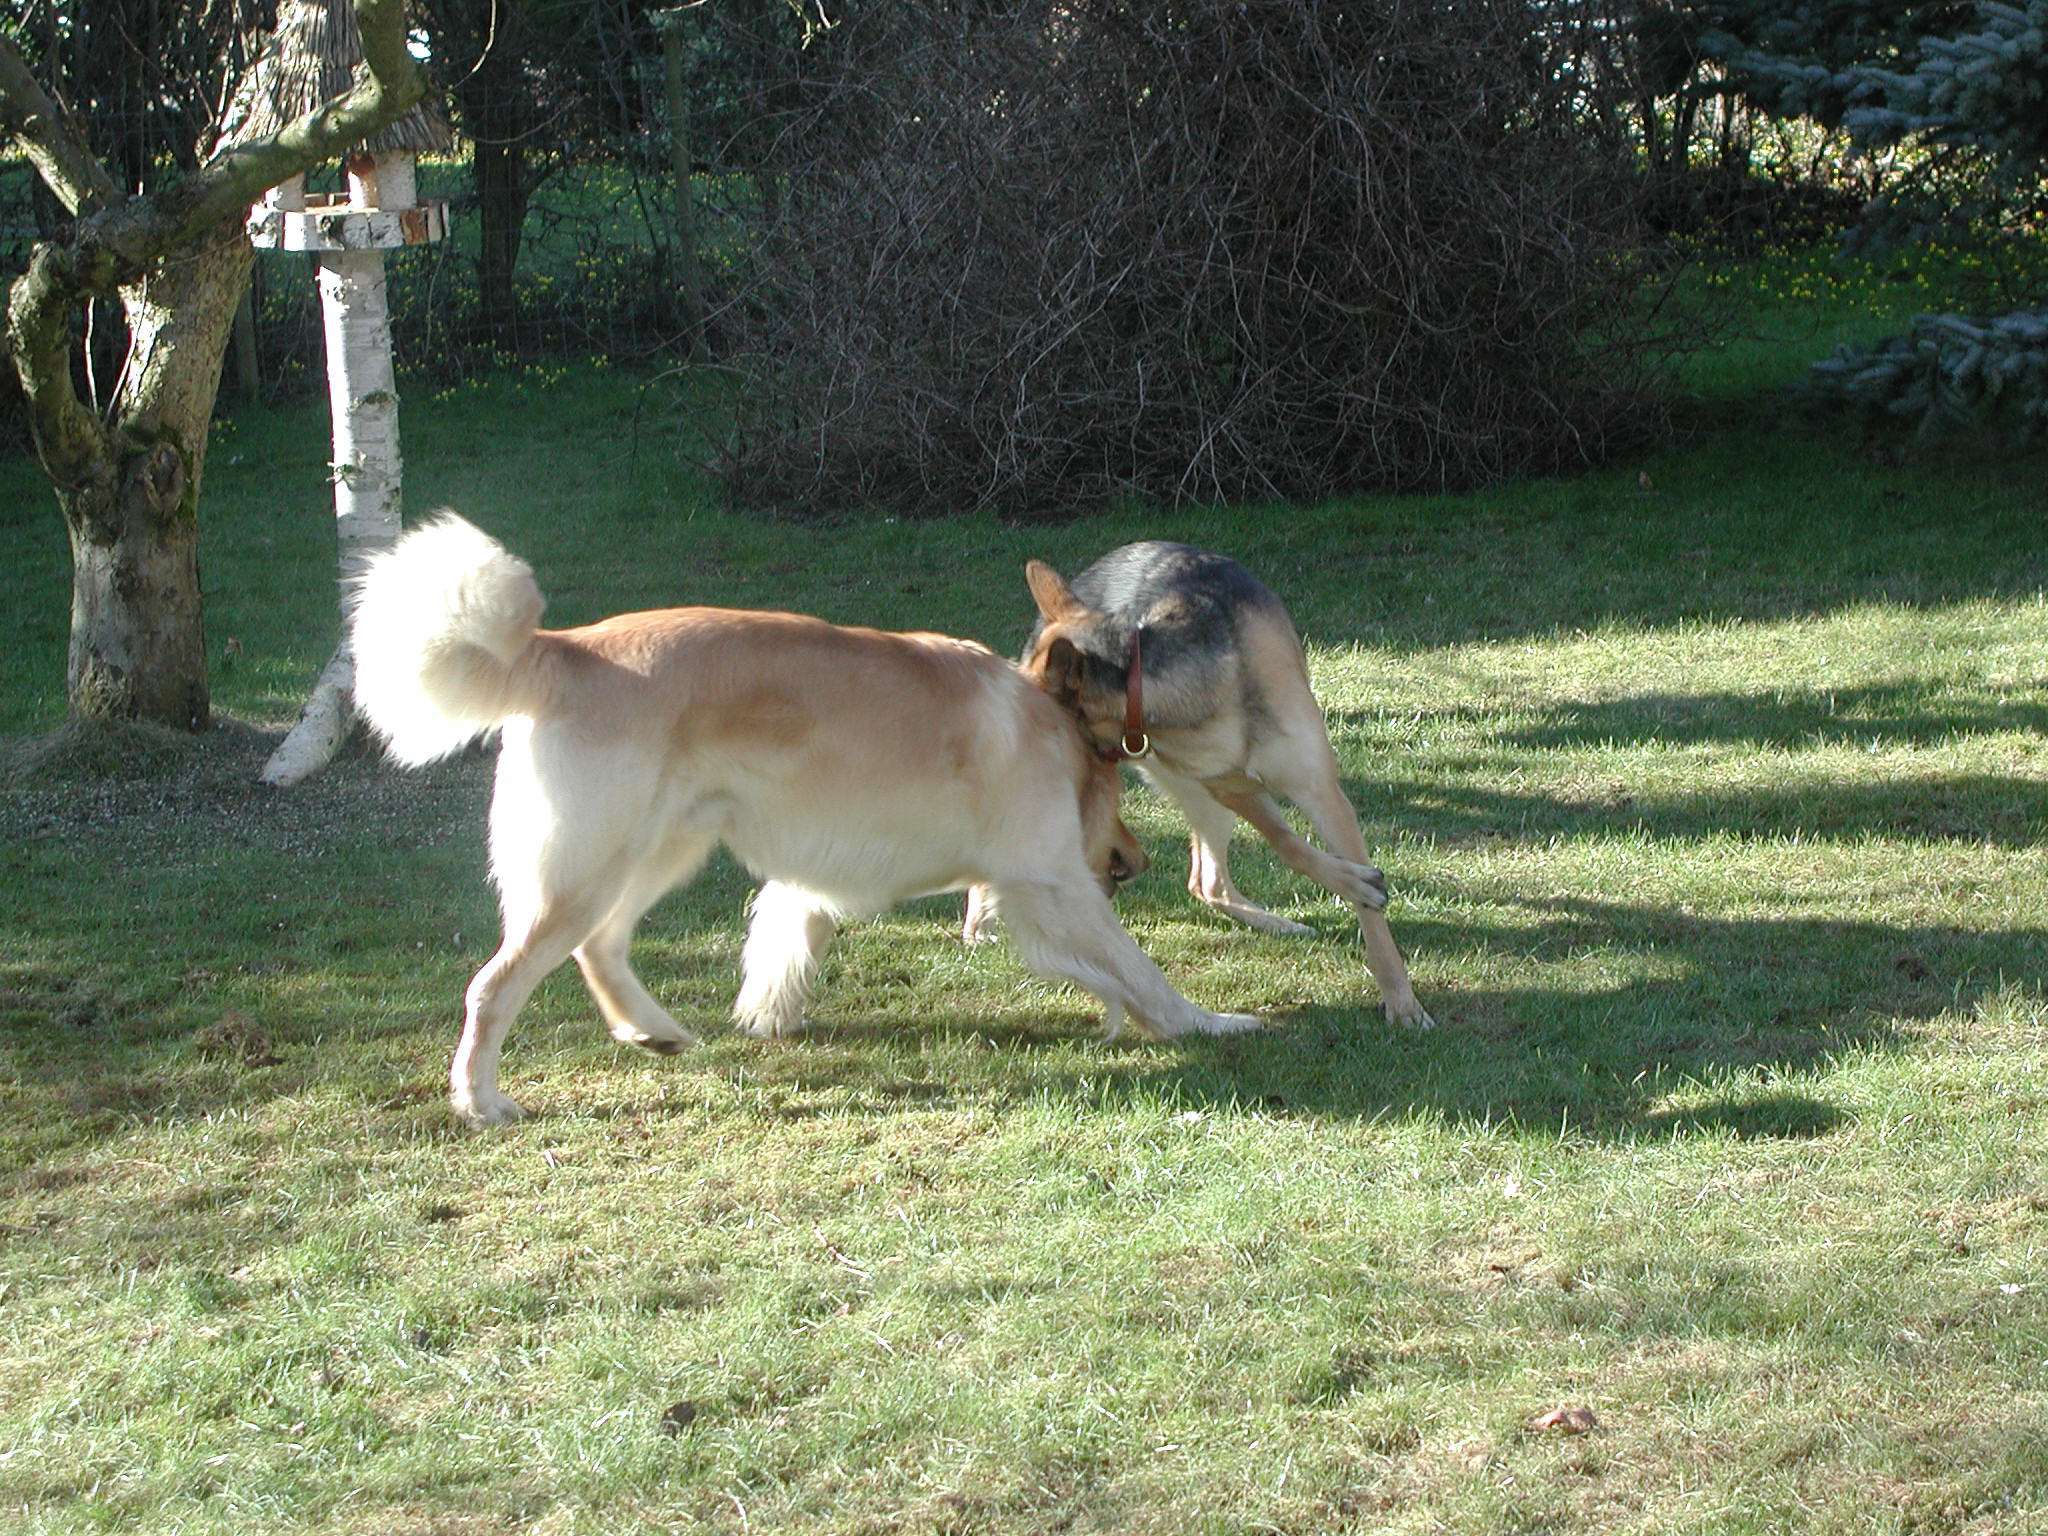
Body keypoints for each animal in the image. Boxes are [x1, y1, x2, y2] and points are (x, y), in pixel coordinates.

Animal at [348, 515, 1261, 1125]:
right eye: (1116, 781)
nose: (1136, 861)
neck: (1045, 722)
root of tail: (564, 648)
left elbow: (792, 932)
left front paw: (771, 1010)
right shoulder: (1052, 884)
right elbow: (1138, 967)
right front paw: (1207, 1022)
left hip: (658, 851)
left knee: (599, 948)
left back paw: (654, 1032)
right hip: (590, 869)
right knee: (496, 984)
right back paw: (480, 1099)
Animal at [964, 540, 1432, 1029]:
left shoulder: (1320, 792)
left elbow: (1351, 895)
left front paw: (1401, 998)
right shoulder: (1229, 787)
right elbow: (1288, 843)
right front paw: (1351, 882)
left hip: (1209, 803)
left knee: (1208, 883)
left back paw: (1277, 922)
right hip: (1199, 795)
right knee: (1203, 880)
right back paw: (979, 924)